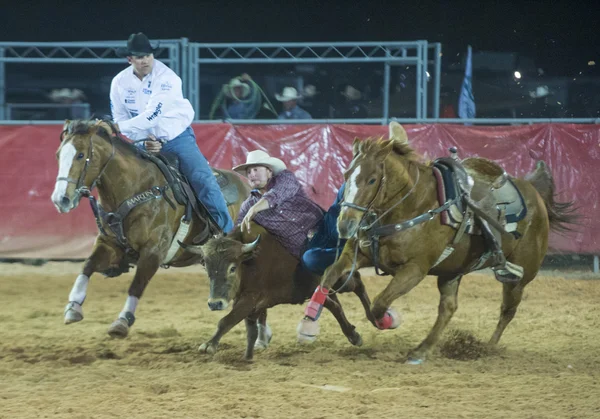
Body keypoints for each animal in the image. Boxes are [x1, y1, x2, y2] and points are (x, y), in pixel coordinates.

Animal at [48, 120, 251, 340]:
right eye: (58, 154)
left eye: (80, 155)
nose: (60, 199)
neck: (135, 190)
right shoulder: (108, 244)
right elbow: (87, 266)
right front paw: (73, 306)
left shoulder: (153, 251)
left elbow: (137, 285)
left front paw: (122, 321)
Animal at [296, 122, 576, 364]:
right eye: (346, 174)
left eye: (372, 179)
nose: (345, 225)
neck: (411, 206)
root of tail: (534, 192)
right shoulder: (357, 253)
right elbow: (329, 276)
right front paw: (309, 322)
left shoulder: (415, 269)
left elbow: (379, 304)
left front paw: (389, 320)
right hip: (452, 272)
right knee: (448, 309)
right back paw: (422, 350)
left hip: (519, 276)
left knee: (507, 310)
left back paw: (486, 348)